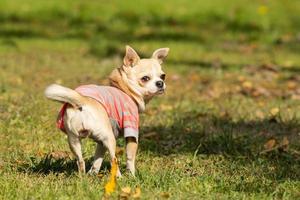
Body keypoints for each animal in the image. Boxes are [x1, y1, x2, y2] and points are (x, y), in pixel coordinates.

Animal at [44, 45, 169, 177]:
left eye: (163, 76)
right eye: (145, 78)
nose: (160, 83)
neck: (125, 90)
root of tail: (83, 100)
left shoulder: (100, 142)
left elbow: (98, 158)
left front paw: (93, 172)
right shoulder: (130, 132)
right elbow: (130, 158)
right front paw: (132, 175)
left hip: (74, 139)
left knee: (80, 160)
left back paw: (83, 177)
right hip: (109, 138)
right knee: (113, 159)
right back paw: (119, 177)